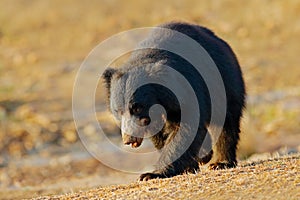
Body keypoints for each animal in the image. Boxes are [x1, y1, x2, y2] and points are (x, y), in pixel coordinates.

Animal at [102, 21, 245, 181]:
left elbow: (186, 129)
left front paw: (150, 174)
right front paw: (190, 165)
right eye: (118, 112)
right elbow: (161, 135)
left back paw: (220, 162)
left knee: (227, 123)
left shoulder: (188, 88)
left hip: (225, 83)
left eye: (137, 108)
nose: (128, 139)